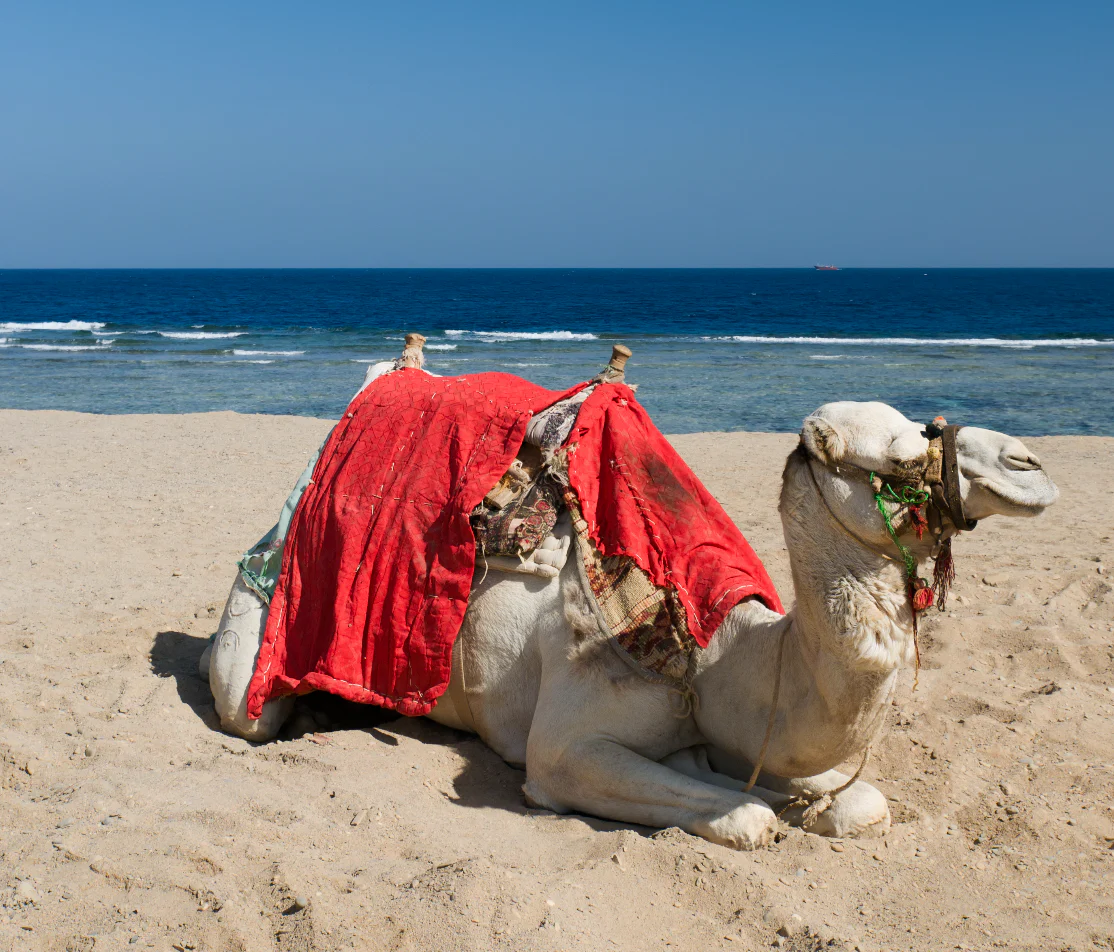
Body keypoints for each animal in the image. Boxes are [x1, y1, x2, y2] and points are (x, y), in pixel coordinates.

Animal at [204, 381, 1058, 850]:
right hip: (265, 604)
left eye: (924, 425)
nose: (1031, 464)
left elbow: (858, 801)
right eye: (905, 456)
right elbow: (747, 815)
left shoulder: (735, 735)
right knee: (245, 702)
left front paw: (813, 805)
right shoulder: (565, 747)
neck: (716, 661)